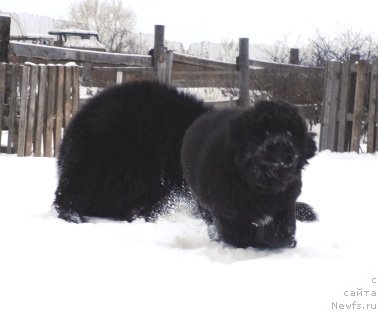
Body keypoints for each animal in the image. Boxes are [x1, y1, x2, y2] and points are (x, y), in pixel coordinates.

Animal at [182, 101, 318, 250]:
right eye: (265, 131)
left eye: (290, 133)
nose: (280, 142)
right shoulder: (229, 213)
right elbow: (241, 235)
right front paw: (258, 242)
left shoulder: (285, 203)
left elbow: (282, 230)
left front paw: (281, 241)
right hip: (203, 203)